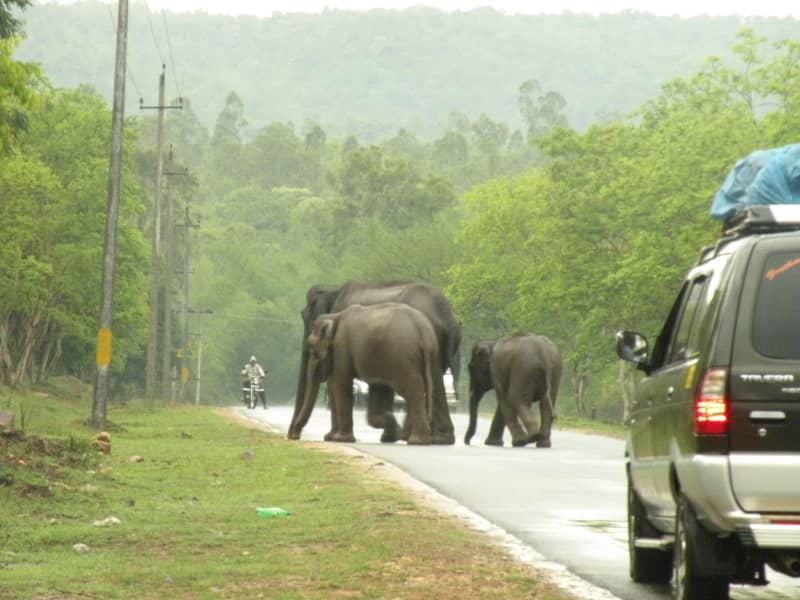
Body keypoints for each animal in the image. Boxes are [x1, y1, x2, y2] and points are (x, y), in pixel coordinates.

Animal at [290, 278, 460, 442]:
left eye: (305, 316)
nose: (293, 436)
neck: (334, 290)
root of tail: (447, 316)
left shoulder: (341, 346)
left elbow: (336, 383)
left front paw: (332, 438)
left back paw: (414, 436)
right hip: (435, 348)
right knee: (435, 382)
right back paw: (438, 438)